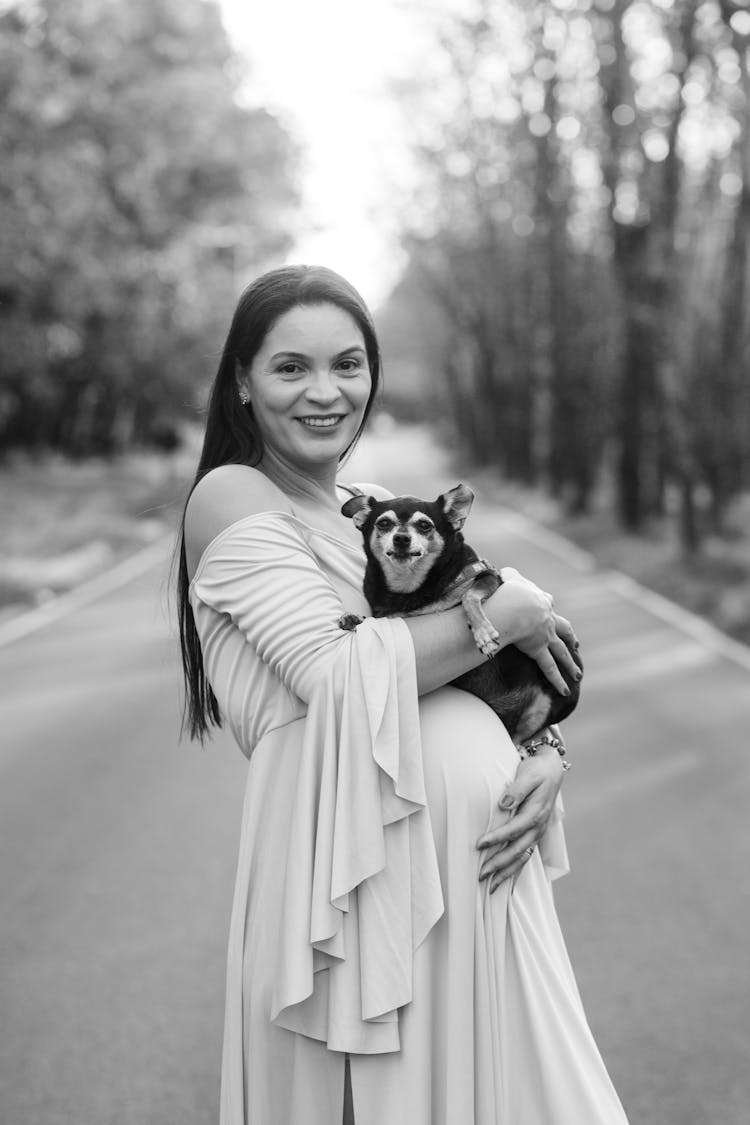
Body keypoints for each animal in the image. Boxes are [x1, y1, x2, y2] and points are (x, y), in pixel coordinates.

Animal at [339, 481, 580, 738]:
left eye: (424, 525)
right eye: (384, 523)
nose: (401, 538)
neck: (412, 589)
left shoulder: (488, 577)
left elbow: (468, 596)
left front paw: (484, 634)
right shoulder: (393, 617)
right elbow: (377, 620)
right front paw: (352, 617)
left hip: (550, 699)